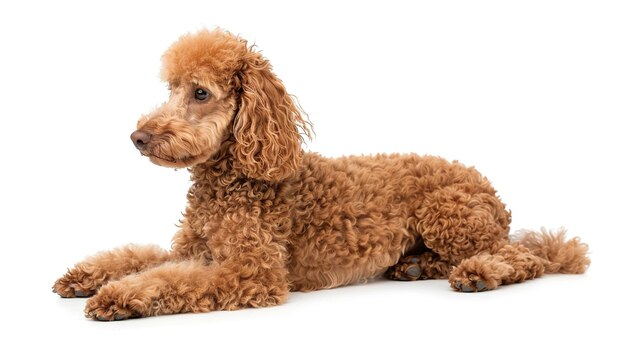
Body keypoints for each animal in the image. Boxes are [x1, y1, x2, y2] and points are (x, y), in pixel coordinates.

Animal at [51, 30, 588, 322]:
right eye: (170, 89)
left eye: (200, 93)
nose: (137, 137)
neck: (232, 179)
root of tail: (489, 189)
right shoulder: (192, 250)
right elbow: (138, 257)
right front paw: (85, 277)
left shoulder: (253, 269)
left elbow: (167, 279)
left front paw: (119, 297)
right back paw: (414, 267)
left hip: (447, 212)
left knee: (523, 257)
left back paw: (477, 273)